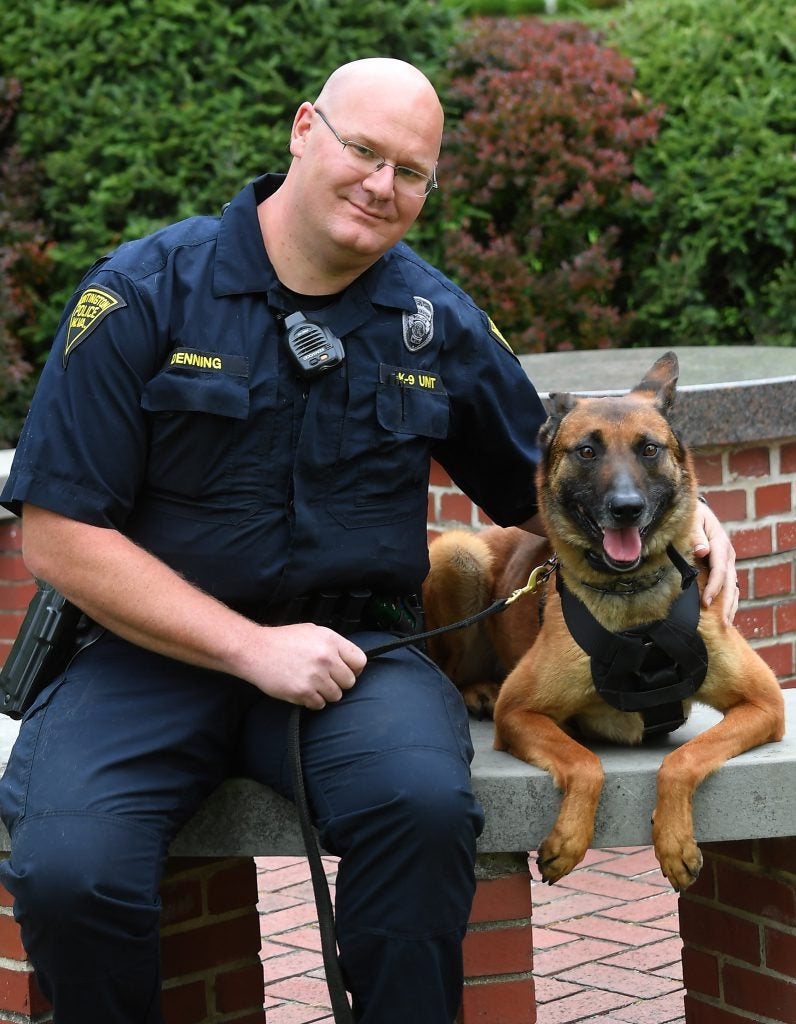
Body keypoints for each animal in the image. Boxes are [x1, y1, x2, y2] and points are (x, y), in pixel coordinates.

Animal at [426, 350, 786, 888]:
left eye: (650, 449)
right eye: (587, 452)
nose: (626, 509)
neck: (632, 596)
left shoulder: (764, 704)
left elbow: (682, 758)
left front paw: (674, 841)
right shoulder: (518, 712)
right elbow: (585, 762)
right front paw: (569, 838)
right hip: (456, 552)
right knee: (450, 672)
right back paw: (477, 692)